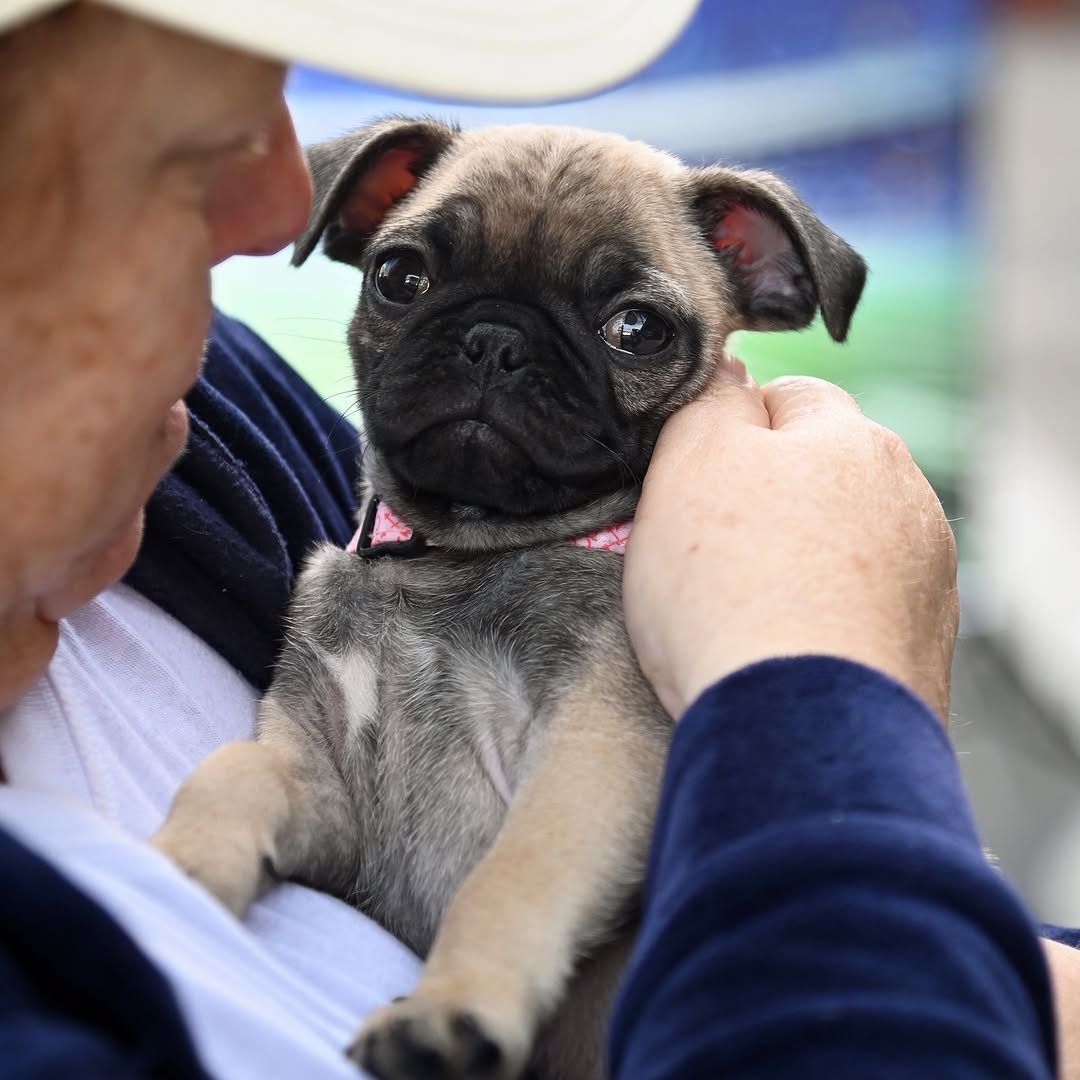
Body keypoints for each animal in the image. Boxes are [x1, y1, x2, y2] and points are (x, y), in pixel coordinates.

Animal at [152, 118, 864, 1080]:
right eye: (399, 276)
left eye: (637, 328)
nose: (494, 338)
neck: (456, 555)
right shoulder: (322, 783)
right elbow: (235, 773)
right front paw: (177, 867)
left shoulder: (587, 761)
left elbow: (509, 884)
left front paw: (448, 1010)